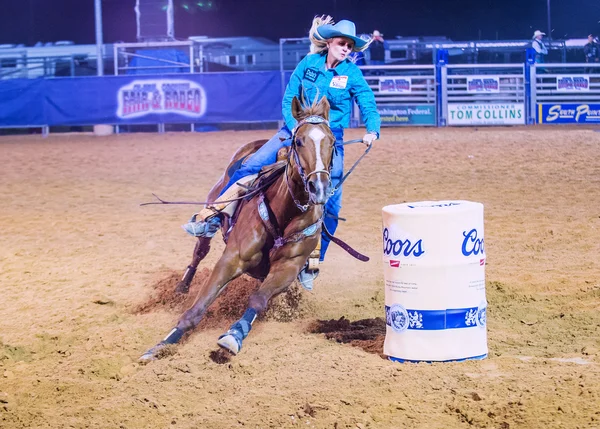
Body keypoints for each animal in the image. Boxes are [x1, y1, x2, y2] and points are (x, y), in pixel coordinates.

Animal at [141, 95, 338, 360]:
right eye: (299, 141)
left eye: (333, 142)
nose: (319, 187)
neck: (285, 213)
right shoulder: (233, 258)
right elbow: (199, 305)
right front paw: (162, 345)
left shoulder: (288, 267)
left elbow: (258, 299)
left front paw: (234, 335)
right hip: (211, 211)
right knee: (199, 253)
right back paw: (182, 286)